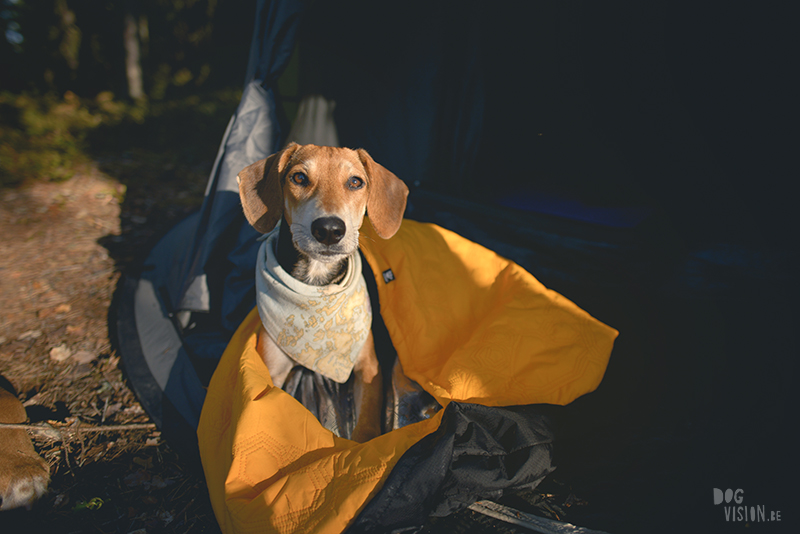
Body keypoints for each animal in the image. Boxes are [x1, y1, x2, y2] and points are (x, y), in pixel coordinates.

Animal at [234, 143, 410, 444]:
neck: (317, 285)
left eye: (355, 182)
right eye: (299, 178)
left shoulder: (368, 369)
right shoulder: (271, 370)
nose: (329, 230)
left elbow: (366, 426)